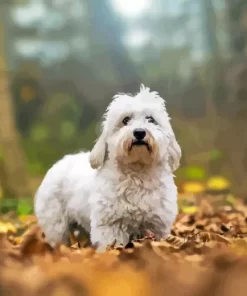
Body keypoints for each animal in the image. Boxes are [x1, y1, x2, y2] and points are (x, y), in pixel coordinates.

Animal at [33, 85, 181, 250]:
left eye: (151, 119)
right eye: (125, 120)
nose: (139, 132)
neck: (137, 170)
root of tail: (58, 163)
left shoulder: (158, 225)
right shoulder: (110, 227)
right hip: (56, 224)